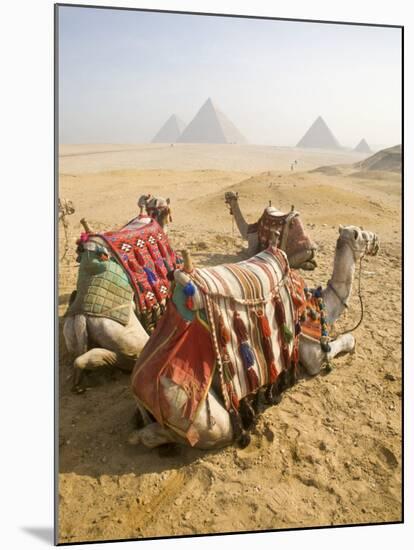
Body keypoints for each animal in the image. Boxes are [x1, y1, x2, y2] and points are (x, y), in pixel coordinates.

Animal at [129, 226, 378, 450]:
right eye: (362, 234)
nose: (376, 241)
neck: (318, 305)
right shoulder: (311, 354)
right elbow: (343, 342)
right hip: (194, 411)